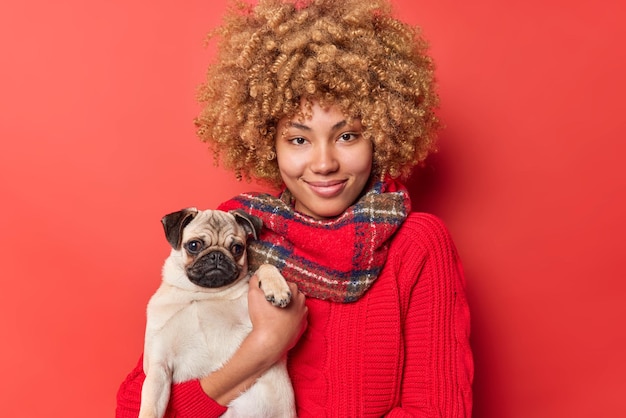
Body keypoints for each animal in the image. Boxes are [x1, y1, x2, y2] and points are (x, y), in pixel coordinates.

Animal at [140, 208, 296, 418]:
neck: (202, 293)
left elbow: (263, 267)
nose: (217, 256)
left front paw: (277, 288)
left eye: (237, 248)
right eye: (194, 245)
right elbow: (150, 409)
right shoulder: (158, 366)